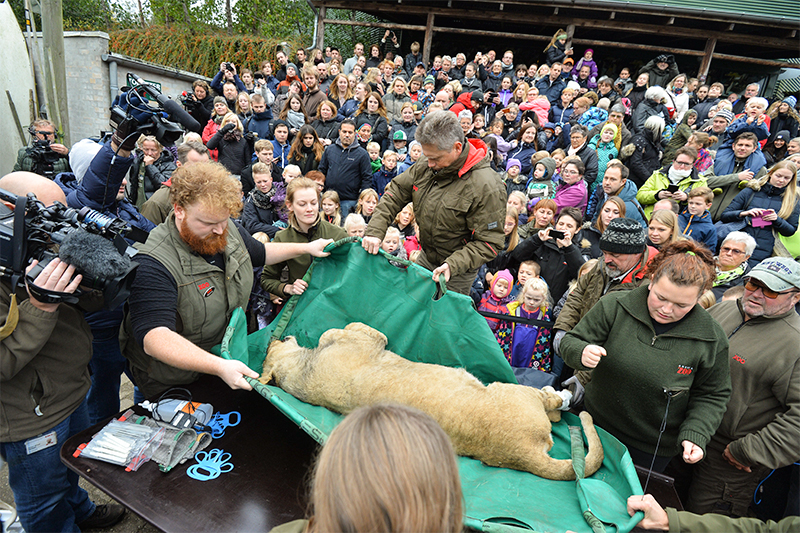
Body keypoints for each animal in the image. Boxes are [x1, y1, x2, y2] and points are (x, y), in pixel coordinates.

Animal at [260, 322, 604, 480]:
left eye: (266, 351)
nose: (273, 337)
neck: (301, 369)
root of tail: (523, 454)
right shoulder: (368, 337)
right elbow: (343, 330)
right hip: (513, 392)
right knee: (553, 407)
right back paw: (563, 395)